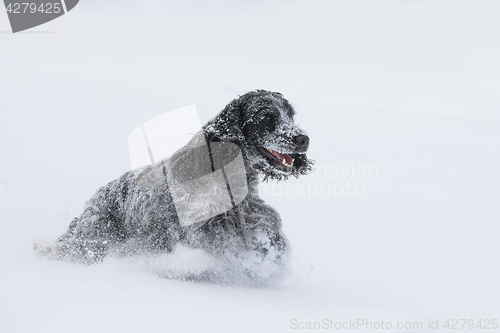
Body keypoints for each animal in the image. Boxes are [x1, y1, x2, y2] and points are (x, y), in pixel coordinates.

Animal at [37, 90, 312, 282]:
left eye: (291, 116)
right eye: (267, 118)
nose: (303, 138)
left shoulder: (249, 214)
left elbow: (267, 229)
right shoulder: (199, 227)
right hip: (95, 235)